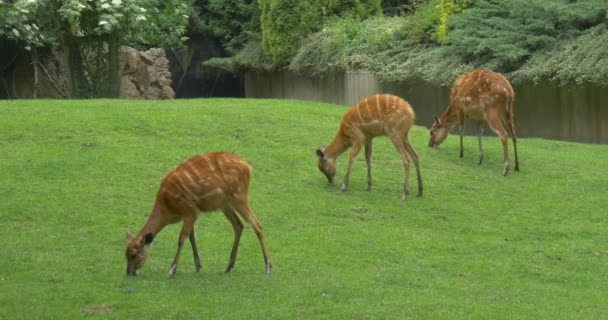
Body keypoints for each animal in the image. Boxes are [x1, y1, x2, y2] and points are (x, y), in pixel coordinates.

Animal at [124, 151, 272, 276]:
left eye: (134, 254)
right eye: (125, 253)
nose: (129, 273)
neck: (168, 209)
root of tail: (248, 167)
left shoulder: (190, 210)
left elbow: (182, 237)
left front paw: (171, 271)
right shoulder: (191, 214)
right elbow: (191, 236)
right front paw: (197, 266)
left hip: (239, 196)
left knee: (257, 224)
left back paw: (268, 267)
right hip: (224, 204)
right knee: (239, 225)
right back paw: (228, 267)